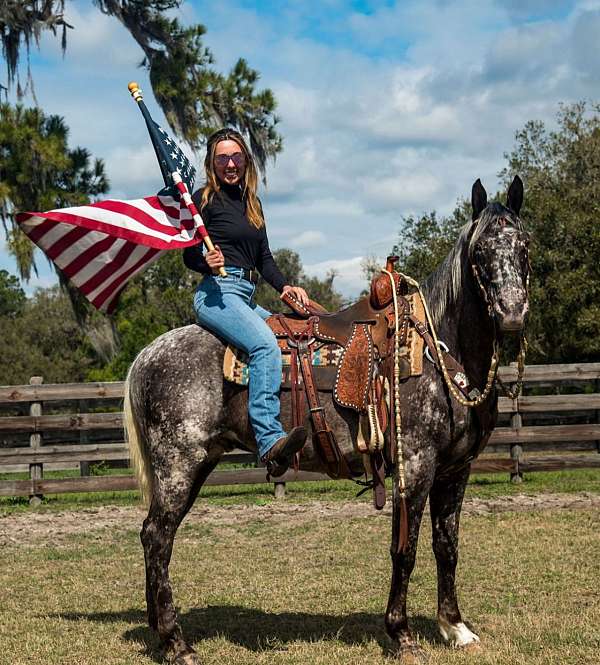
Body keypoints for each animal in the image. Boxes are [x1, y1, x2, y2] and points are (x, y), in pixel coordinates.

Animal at [124, 175, 528, 660]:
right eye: (479, 252)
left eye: (524, 244)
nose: (512, 314)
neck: (440, 350)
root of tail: (147, 355)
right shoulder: (415, 466)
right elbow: (405, 549)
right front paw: (402, 634)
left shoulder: (455, 469)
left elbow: (446, 546)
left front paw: (455, 628)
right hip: (178, 466)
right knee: (157, 536)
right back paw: (176, 642)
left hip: (197, 463)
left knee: (155, 538)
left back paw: (161, 632)